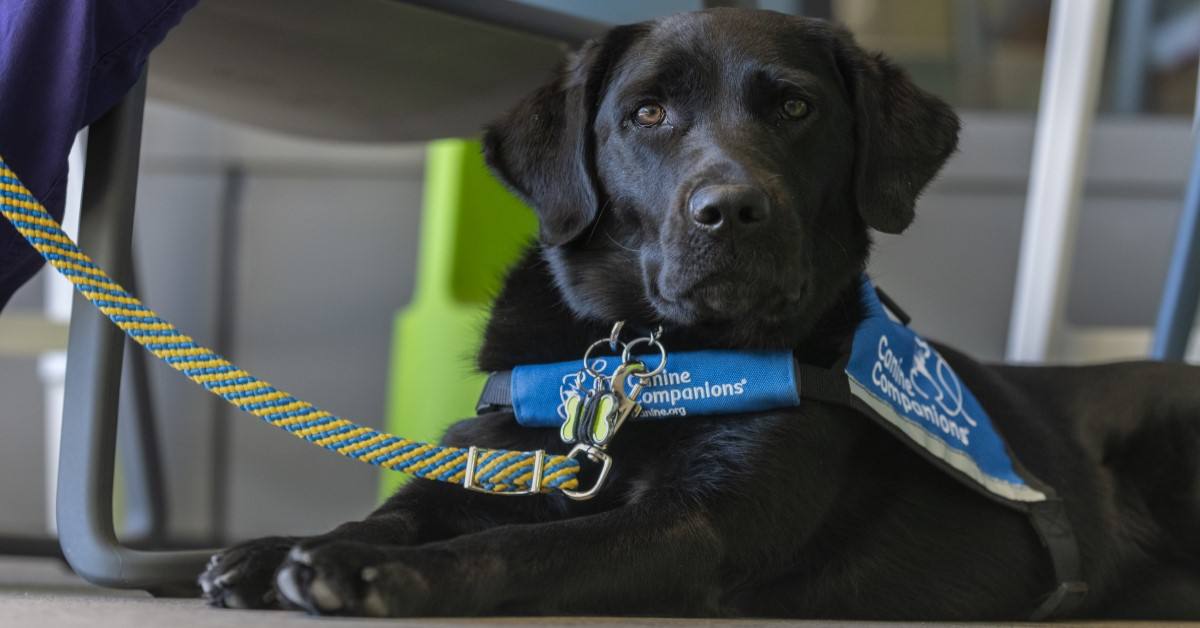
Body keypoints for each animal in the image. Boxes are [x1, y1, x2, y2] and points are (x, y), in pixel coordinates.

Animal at [196, 8, 1200, 619]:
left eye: (795, 106)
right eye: (647, 113)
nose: (731, 210)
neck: (648, 356)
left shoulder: (697, 527)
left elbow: (527, 550)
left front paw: (379, 576)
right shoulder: (493, 466)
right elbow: (398, 508)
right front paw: (282, 550)